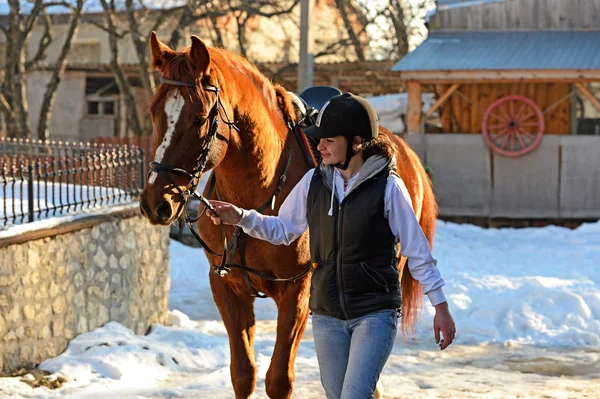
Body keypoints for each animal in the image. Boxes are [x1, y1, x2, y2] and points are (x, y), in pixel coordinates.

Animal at [140, 32, 438, 399]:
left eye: (198, 117)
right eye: (154, 111)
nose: (156, 201)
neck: (259, 192)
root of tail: (405, 152)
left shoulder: (296, 292)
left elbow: (279, 379)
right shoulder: (226, 287)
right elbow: (243, 373)